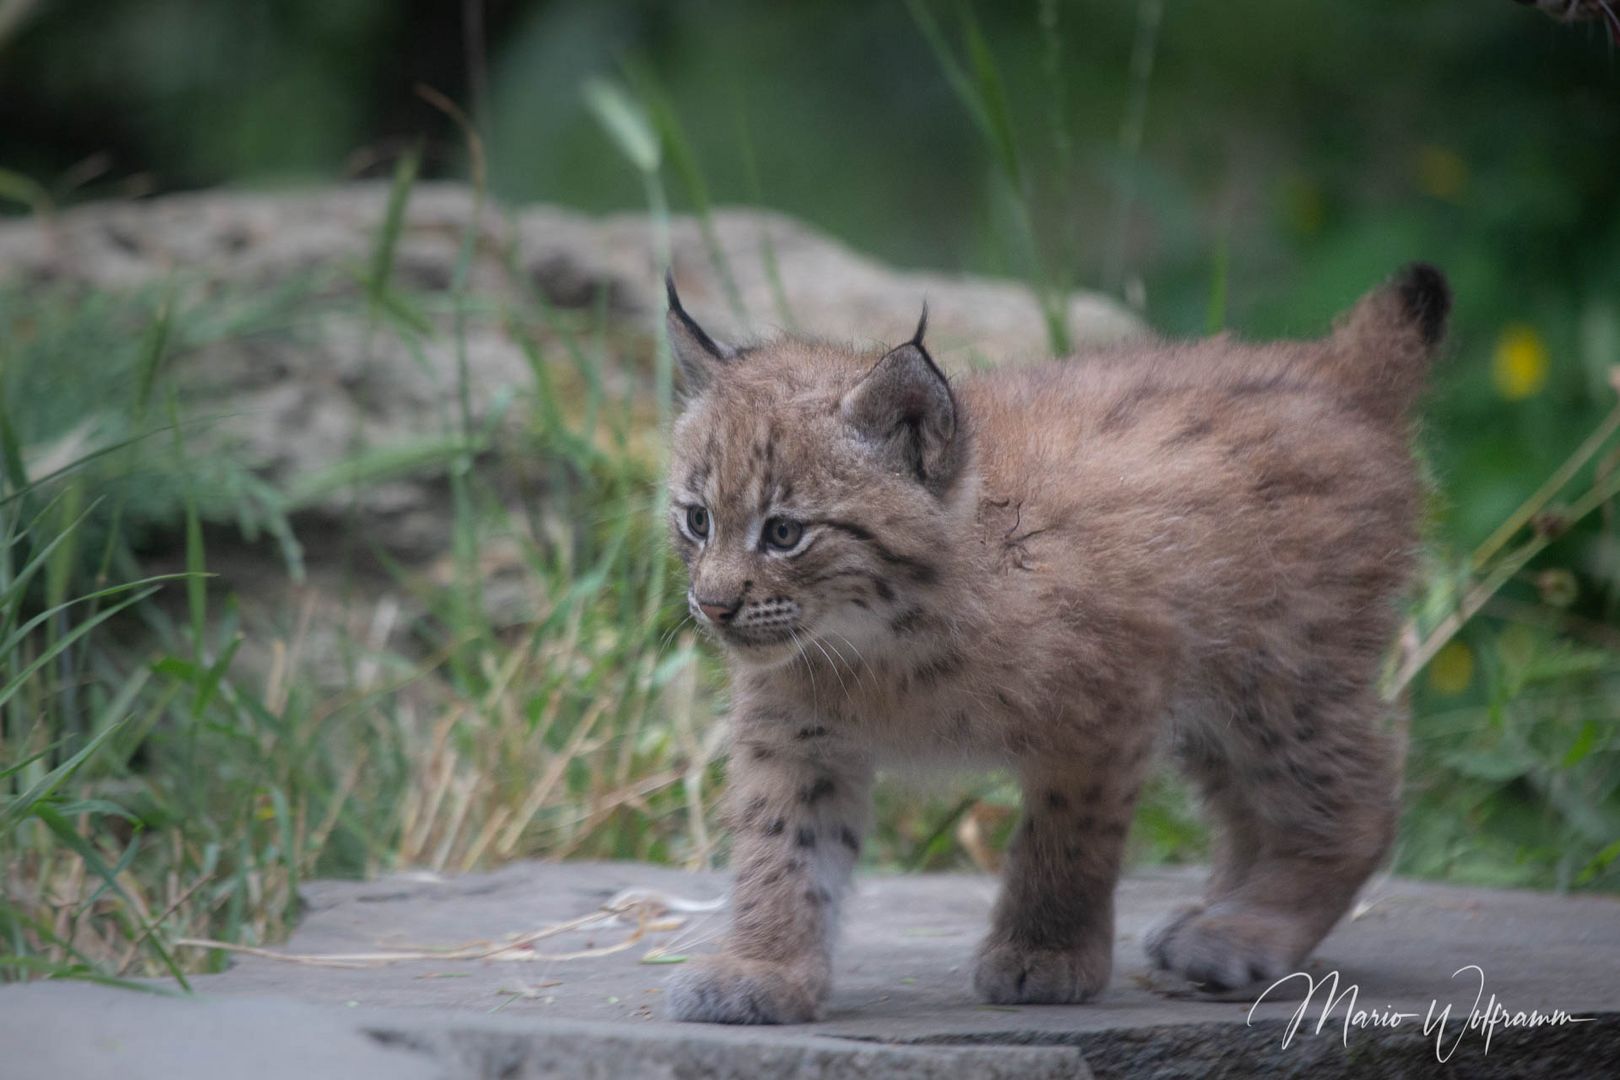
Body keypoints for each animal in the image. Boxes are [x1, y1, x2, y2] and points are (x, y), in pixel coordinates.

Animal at [664, 263, 1451, 1023]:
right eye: (697, 520)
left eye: (784, 532)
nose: (713, 606)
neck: (880, 643)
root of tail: (1328, 367)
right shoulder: (794, 736)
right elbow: (781, 848)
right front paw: (763, 967)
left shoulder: (1102, 710)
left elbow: (1066, 841)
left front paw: (1044, 955)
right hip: (1213, 688)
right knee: (1255, 808)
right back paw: (1218, 915)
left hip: (1279, 668)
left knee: (1361, 805)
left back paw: (1247, 929)